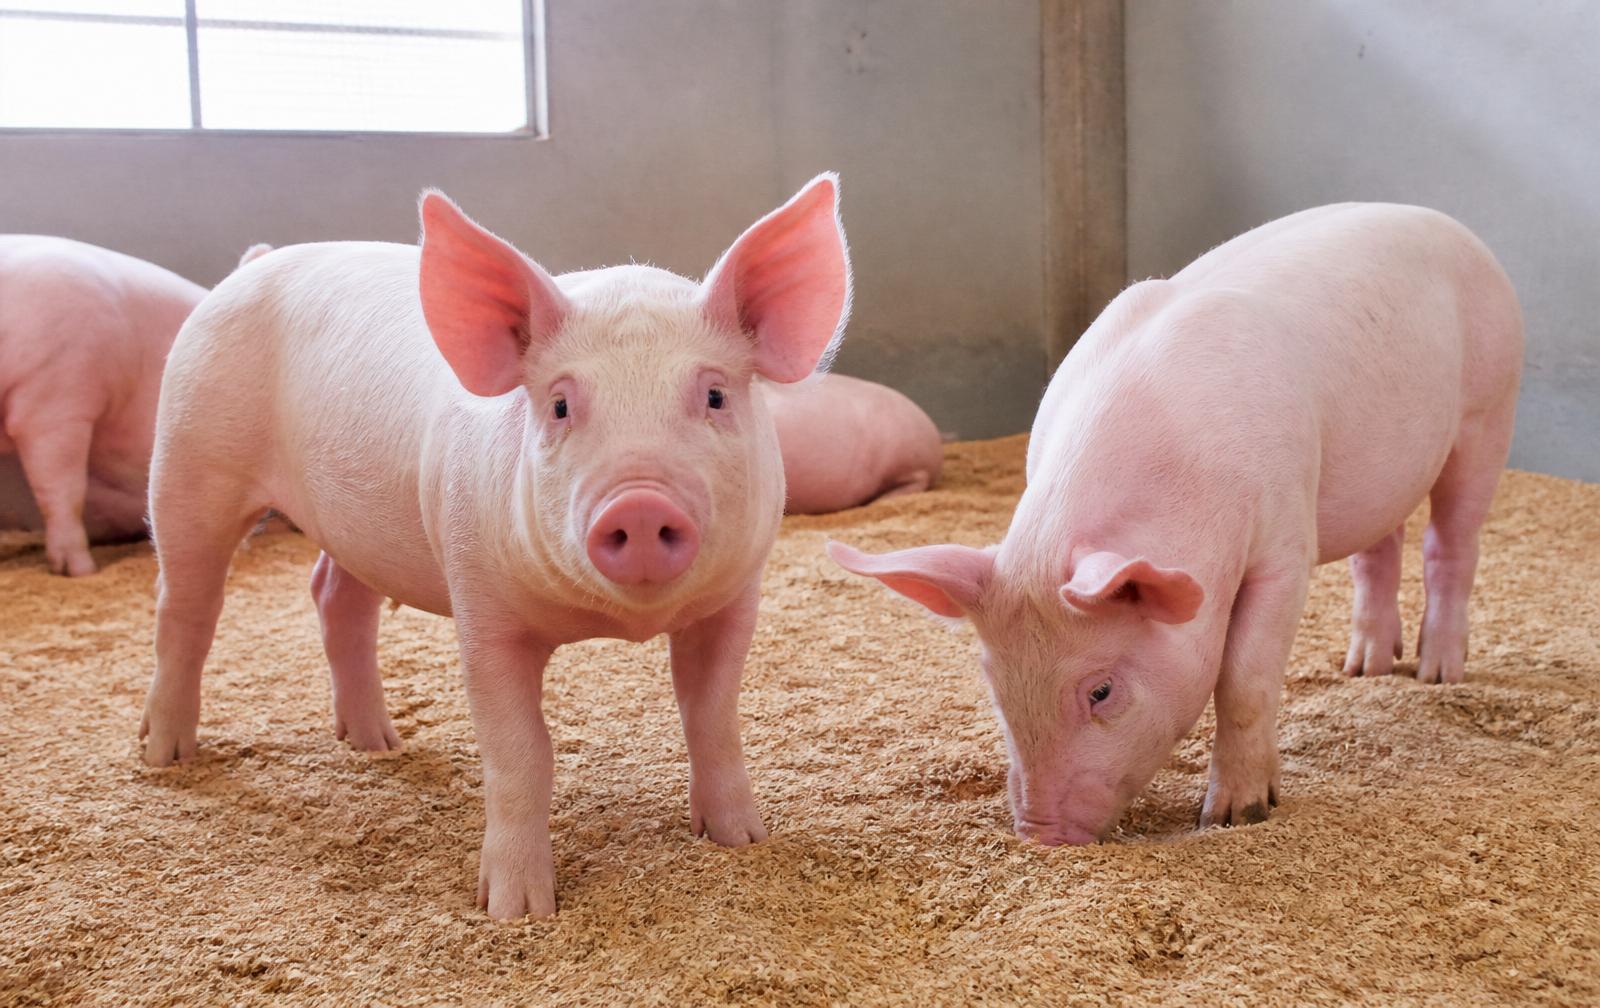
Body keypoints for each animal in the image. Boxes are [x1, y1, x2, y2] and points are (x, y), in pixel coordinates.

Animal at [139, 175, 852, 919]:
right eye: (560, 405)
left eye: (714, 394)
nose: (639, 502)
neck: (616, 622)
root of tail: (253, 263)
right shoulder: (482, 607)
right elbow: (521, 750)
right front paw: (516, 910)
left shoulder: (734, 599)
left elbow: (711, 716)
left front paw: (743, 841)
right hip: (188, 454)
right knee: (184, 607)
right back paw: (165, 756)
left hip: (352, 518)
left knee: (335, 597)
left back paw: (377, 744)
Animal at [830, 203, 1522, 844]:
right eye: (993, 680)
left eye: (1102, 691)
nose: (1039, 835)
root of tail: (1448, 224)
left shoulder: (1284, 543)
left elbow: (1243, 679)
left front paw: (1234, 818)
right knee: (1380, 550)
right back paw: (1363, 669)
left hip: (1489, 409)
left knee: (1451, 544)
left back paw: (1437, 673)